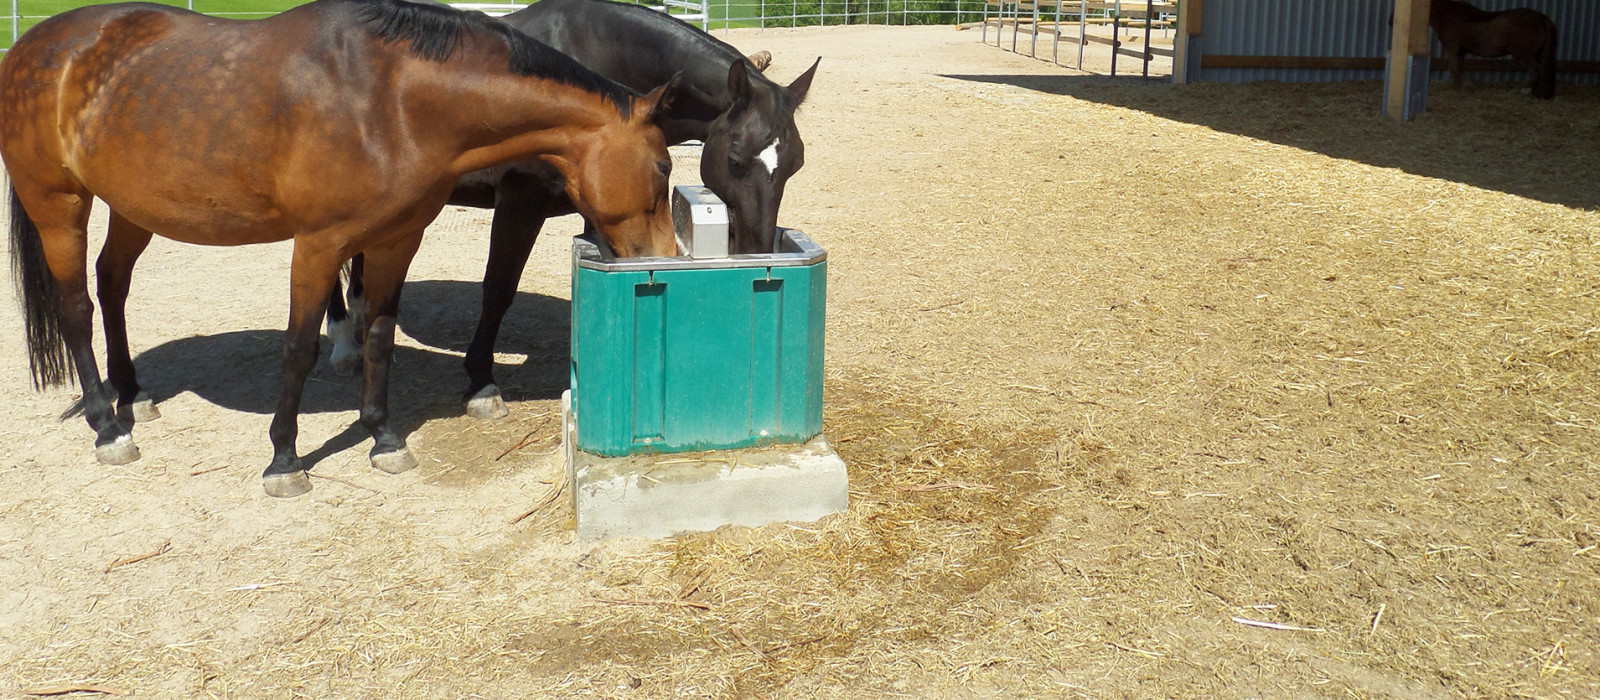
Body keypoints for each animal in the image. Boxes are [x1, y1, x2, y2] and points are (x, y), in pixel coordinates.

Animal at [1, 0, 680, 497]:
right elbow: (300, 348)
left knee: (112, 283)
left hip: (132, 206)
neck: (391, 100)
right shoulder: (318, 246)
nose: (665, 258)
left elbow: (379, 335)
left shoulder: (397, 239)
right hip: (58, 204)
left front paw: (383, 438)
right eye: (663, 165)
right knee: (77, 309)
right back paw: (107, 426)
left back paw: (133, 393)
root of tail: (34, 47)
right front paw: (284, 459)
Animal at [320, 0, 820, 420]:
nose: (757, 248)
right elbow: (497, 290)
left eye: (795, 164)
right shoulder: (520, 204)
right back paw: (344, 347)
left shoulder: (606, 210)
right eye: (735, 159)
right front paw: (481, 384)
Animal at [1428, 0, 1557, 99]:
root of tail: (1542, 18)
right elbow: (1459, 68)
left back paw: (1523, 90)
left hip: (1522, 54)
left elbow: (1454, 68)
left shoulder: (1453, 48)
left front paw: (1453, 89)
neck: (1446, 14)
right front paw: (1458, 87)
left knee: (1535, 70)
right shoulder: (1461, 51)